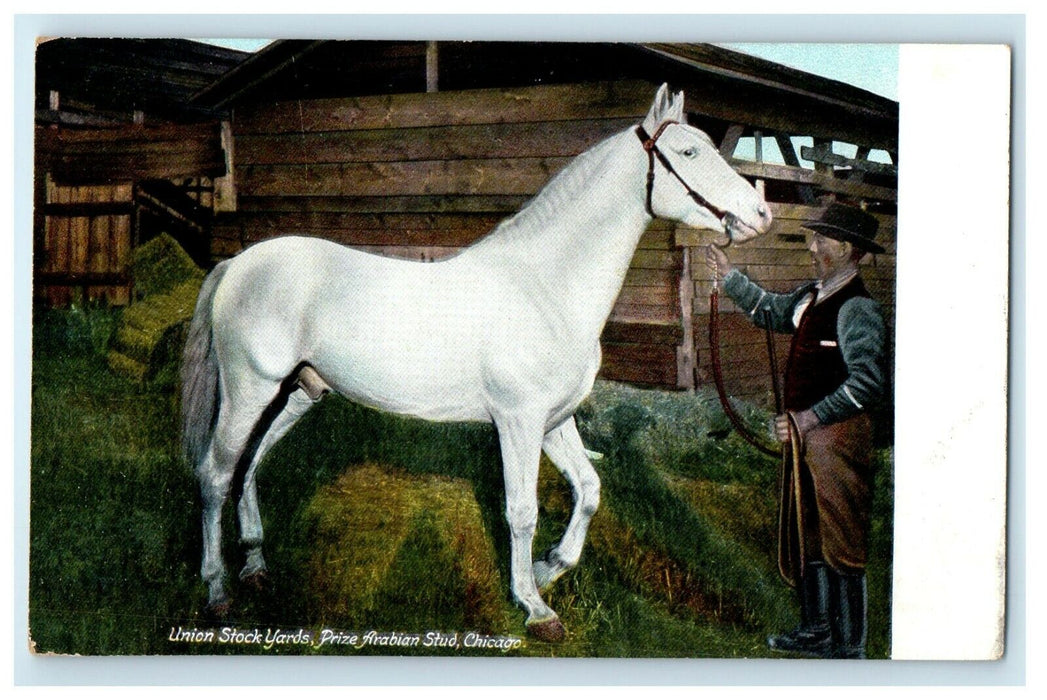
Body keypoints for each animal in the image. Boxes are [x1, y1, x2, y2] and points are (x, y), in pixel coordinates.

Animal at [180, 84, 773, 642]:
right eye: (690, 151)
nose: (761, 214)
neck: (544, 288)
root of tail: (238, 264)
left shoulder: (554, 421)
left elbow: (588, 491)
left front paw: (550, 567)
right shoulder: (518, 421)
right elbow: (522, 511)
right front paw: (535, 607)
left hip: (300, 391)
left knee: (248, 462)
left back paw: (256, 564)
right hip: (250, 390)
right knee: (215, 473)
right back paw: (217, 590)